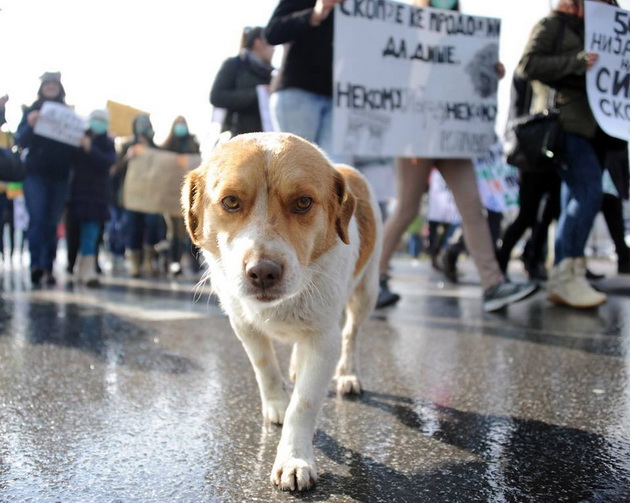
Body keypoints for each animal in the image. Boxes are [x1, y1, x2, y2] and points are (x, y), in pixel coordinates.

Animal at [180, 132, 382, 490]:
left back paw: (348, 373)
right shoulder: (244, 327)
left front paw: (293, 458)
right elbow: (266, 371)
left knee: (352, 333)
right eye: (230, 201)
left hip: (366, 293)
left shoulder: (322, 341)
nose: (263, 272)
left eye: (303, 202)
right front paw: (276, 404)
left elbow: (303, 405)